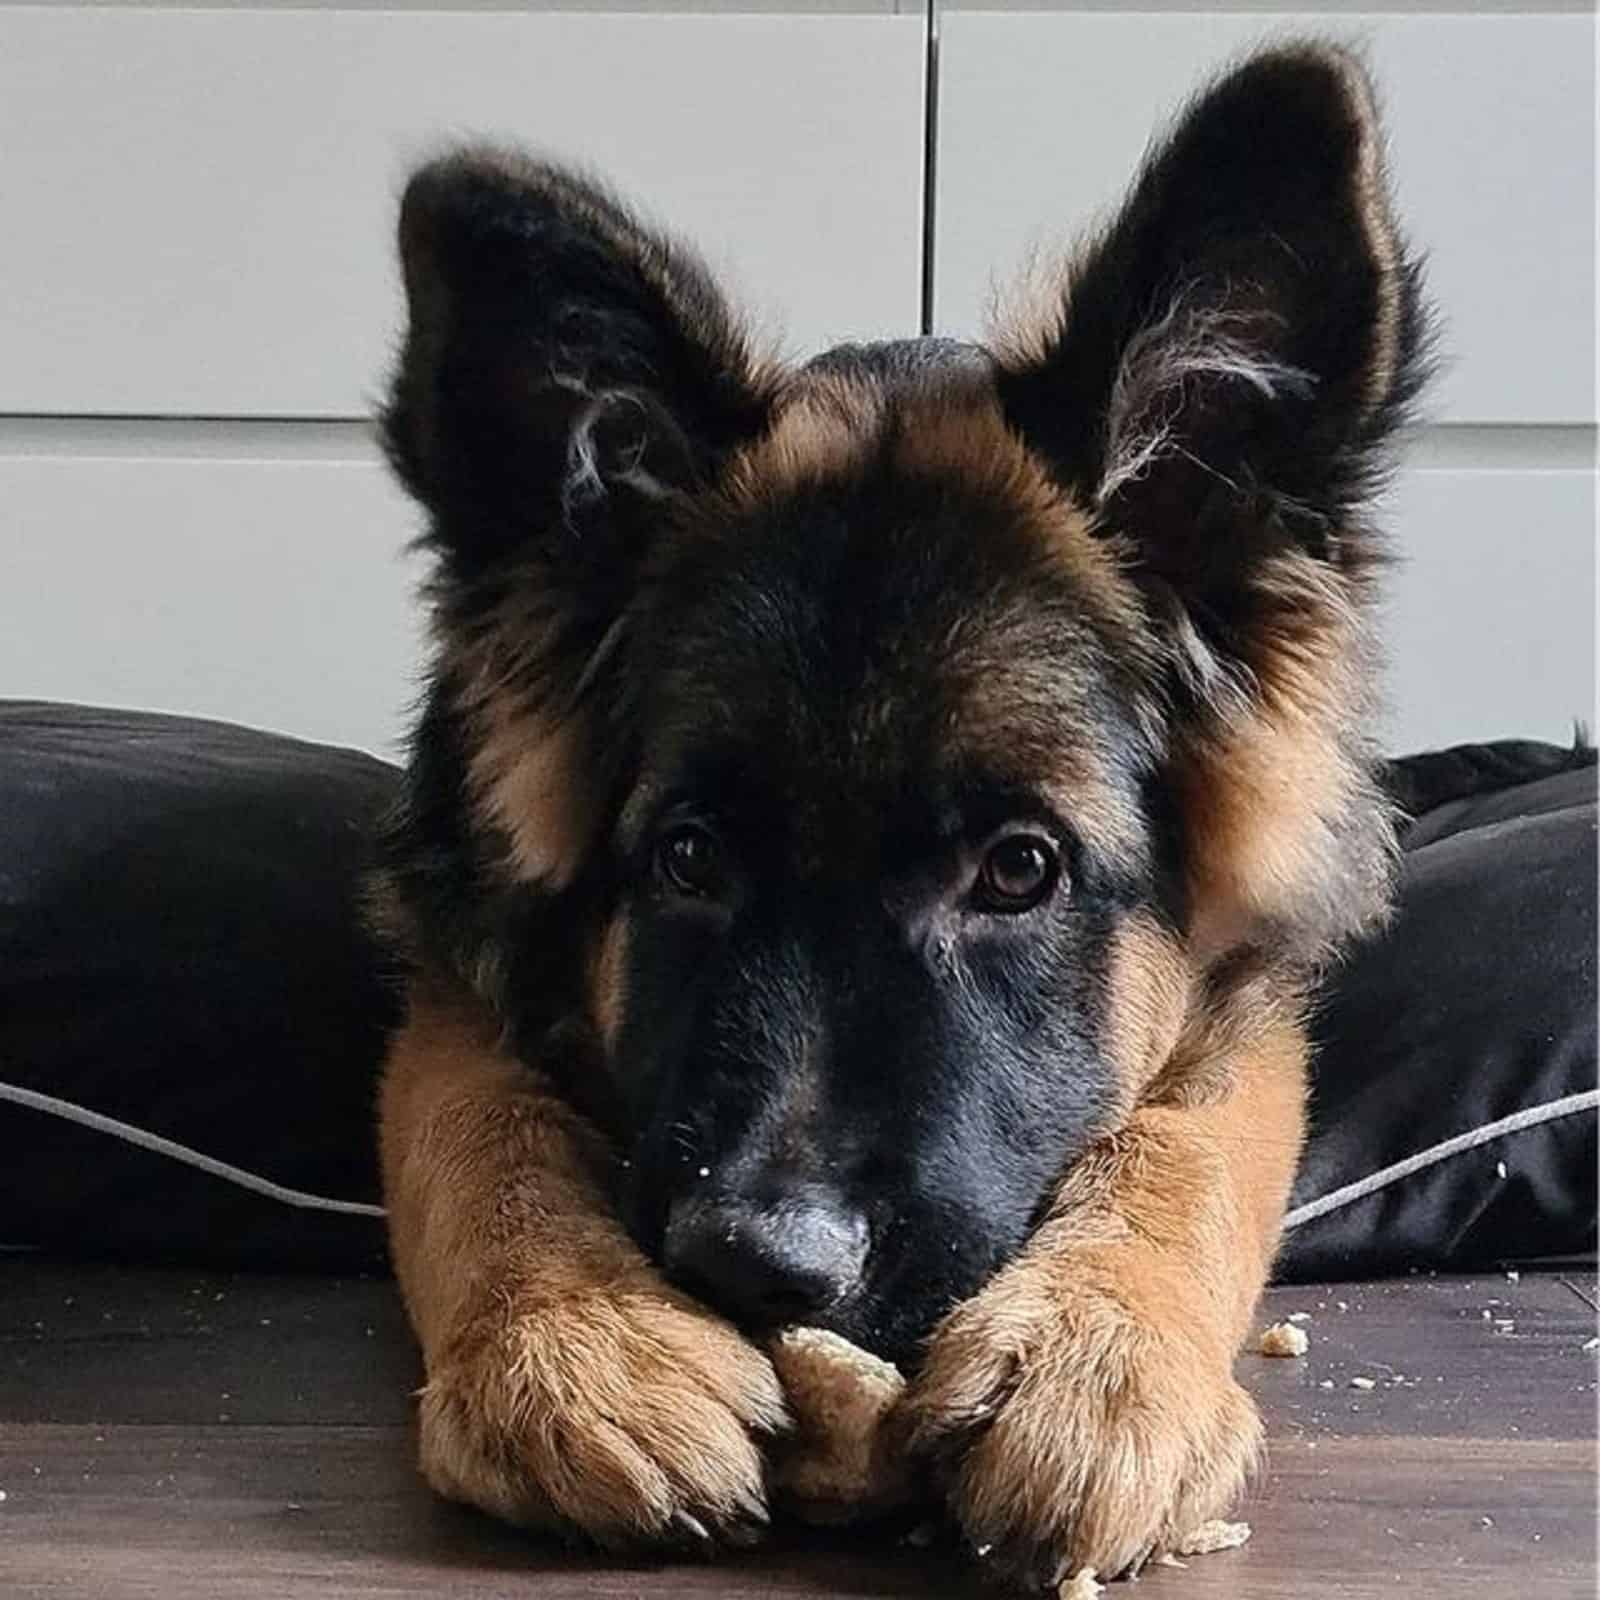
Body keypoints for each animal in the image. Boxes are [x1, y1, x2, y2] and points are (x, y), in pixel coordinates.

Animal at [371, 43, 1427, 1580]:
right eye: (687, 859)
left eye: (1018, 870)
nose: (760, 1266)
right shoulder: (453, 971)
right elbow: (474, 1122)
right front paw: (574, 1345)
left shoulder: (1255, 1002)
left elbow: (1194, 1147)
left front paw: (1098, 1362)